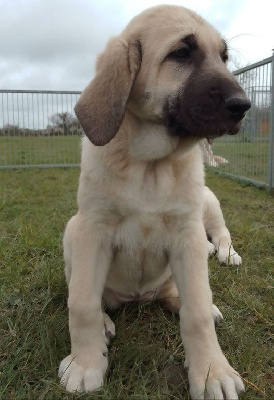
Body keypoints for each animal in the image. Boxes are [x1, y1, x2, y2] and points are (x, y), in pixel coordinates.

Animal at [58, 4, 250, 398]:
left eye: (224, 58)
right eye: (181, 53)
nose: (244, 105)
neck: (150, 165)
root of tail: (139, 297)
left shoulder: (188, 236)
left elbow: (196, 312)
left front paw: (212, 372)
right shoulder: (91, 231)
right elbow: (81, 303)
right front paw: (85, 365)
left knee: (203, 264)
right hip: (72, 230)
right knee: (90, 296)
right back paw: (105, 323)